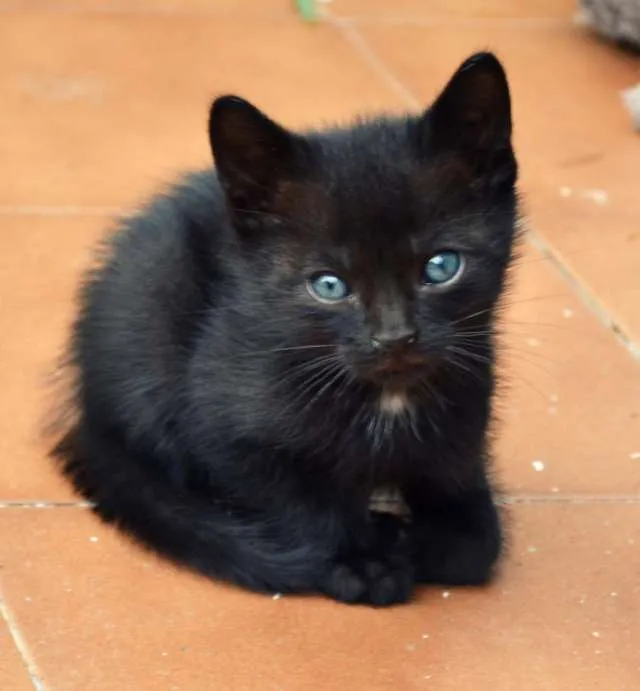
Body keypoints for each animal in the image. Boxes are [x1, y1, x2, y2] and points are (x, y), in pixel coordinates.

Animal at [51, 52, 520, 604]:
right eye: (330, 285)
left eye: (442, 267)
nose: (394, 337)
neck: (388, 399)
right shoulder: (225, 425)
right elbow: (294, 499)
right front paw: (361, 558)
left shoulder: (469, 404)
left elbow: (475, 538)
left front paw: (433, 535)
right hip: (152, 307)